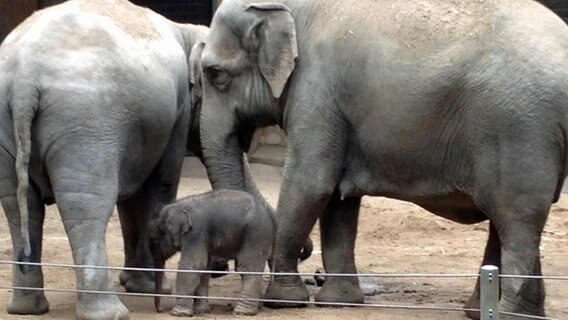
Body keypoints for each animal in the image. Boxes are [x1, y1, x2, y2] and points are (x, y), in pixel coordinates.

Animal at [0, 1, 209, 318]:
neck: (184, 30)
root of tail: (24, 74)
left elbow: (132, 199)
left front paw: (135, 284)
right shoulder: (178, 112)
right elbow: (159, 184)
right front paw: (152, 289)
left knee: (17, 203)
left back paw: (27, 308)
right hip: (85, 119)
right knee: (87, 202)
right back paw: (110, 312)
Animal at [196, 0, 568, 320]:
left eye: (215, 74)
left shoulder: (317, 89)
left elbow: (311, 184)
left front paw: (283, 301)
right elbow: (338, 199)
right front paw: (340, 302)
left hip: (520, 130)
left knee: (516, 221)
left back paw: (510, 315)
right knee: (508, 222)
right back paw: (492, 312)